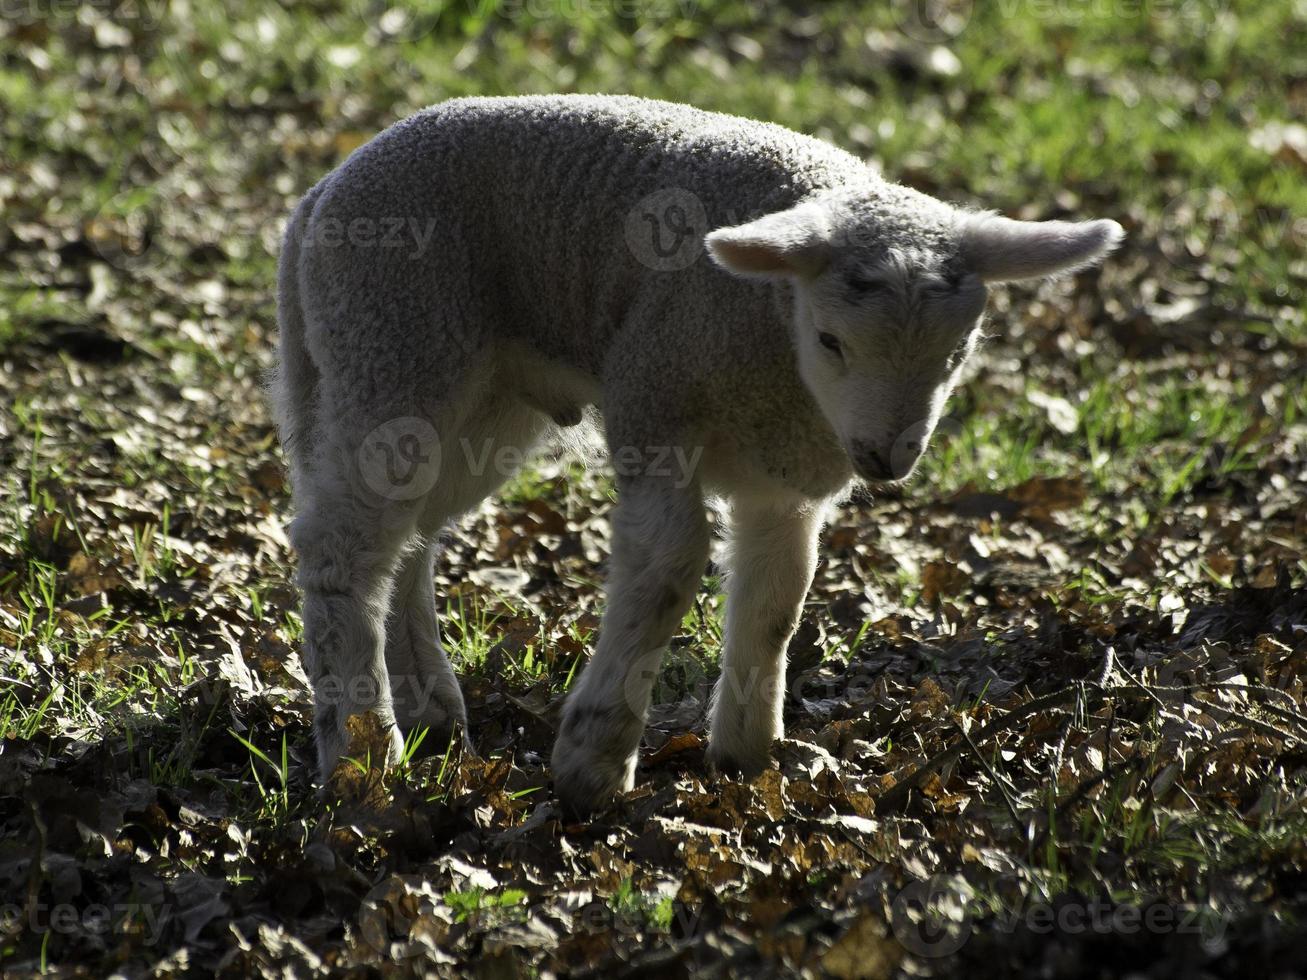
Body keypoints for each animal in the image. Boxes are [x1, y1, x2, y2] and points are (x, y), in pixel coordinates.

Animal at [267, 92, 1124, 815]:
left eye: (958, 353)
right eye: (829, 340)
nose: (887, 458)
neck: (775, 342)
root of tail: (319, 197)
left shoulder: (785, 479)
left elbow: (779, 597)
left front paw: (745, 755)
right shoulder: (654, 401)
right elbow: (666, 571)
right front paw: (593, 759)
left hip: (484, 399)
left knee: (407, 539)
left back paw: (432, 714)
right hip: (393, 339)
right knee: (344, 547)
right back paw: (363, 754)